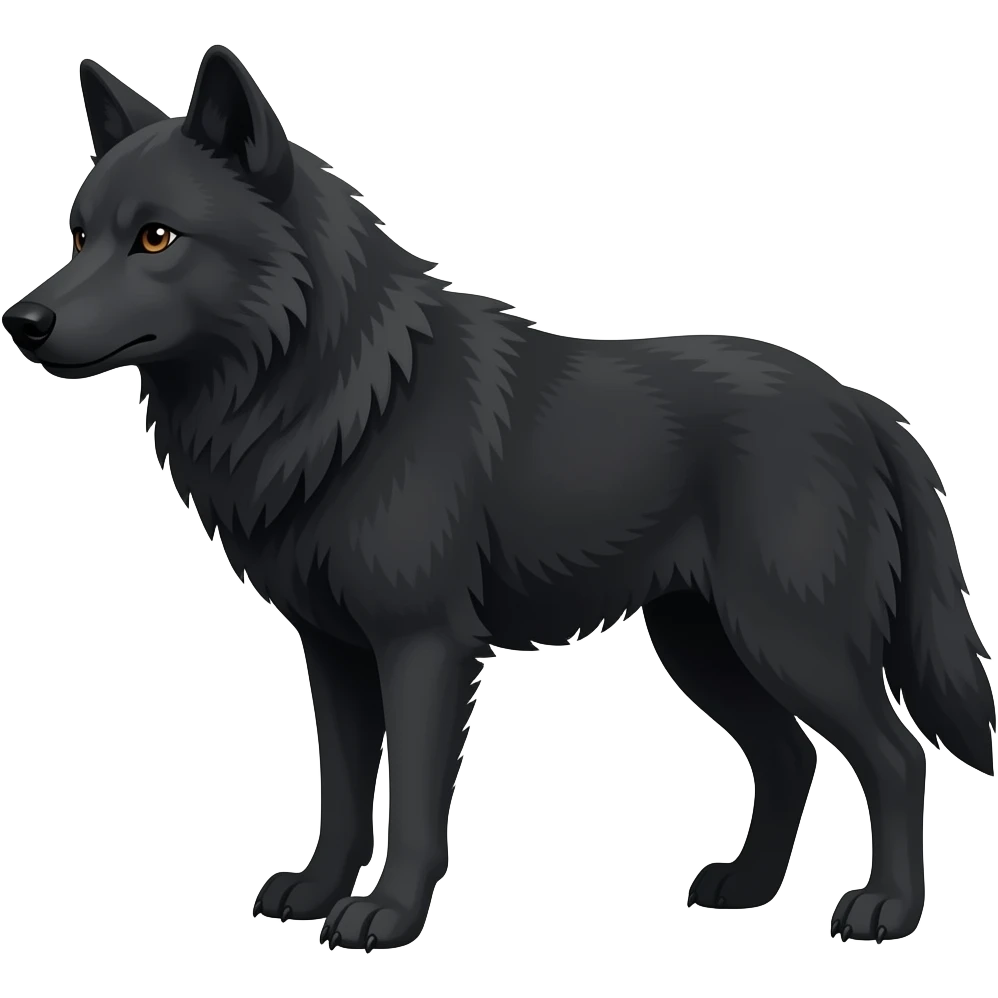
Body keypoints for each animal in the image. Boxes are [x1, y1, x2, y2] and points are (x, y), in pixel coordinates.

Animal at [3, 45, 994, 951]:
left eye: (156, 237)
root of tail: (862, 404)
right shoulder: (333, 651)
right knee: (790, 756)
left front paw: (387, 917)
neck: (337, 394)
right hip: (705, 645)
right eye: (79, 235)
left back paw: (886, 911)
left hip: (790, 641)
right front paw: (319, 893)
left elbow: (411, 802)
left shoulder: (424, 647)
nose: (23, 321)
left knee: (898, 760)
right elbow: (342, 792)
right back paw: (747, 888)